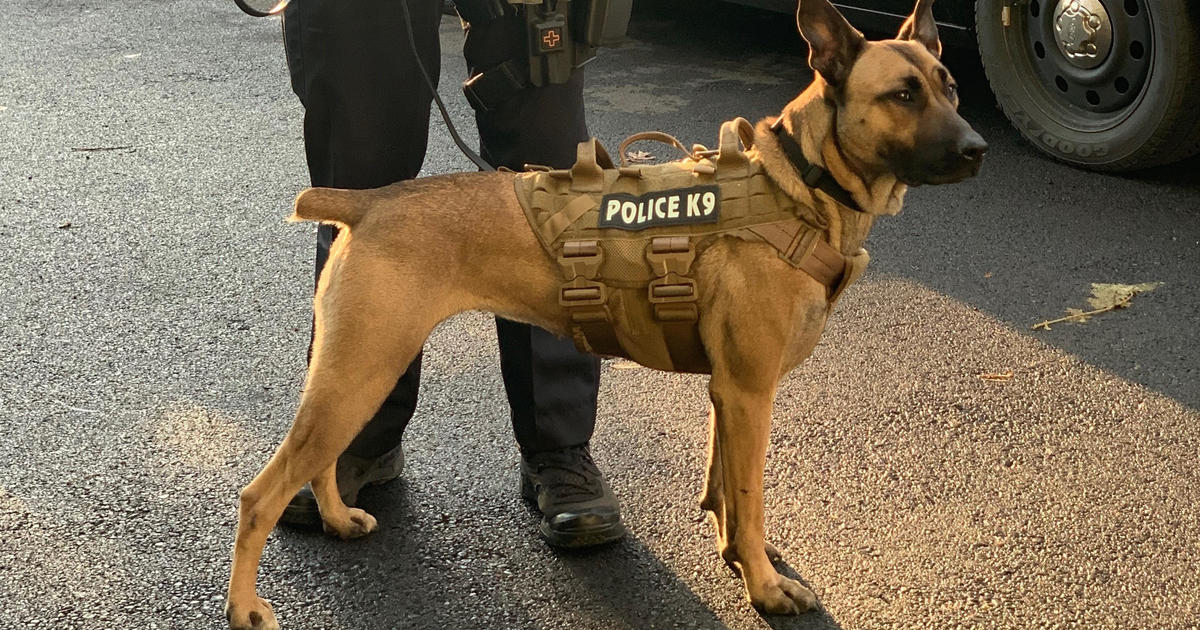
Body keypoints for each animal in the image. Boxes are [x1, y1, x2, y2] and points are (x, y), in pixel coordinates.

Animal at [223, 2, 984, 624]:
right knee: (259, 496)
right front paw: (765, 587)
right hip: (361, 371)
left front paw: (734, 555)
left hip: (356, 374)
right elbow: (752, 503)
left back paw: (337, 519)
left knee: (318, 461)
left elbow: (725, 494)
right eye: (903, 94)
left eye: (949, 87)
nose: (977, 150)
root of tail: (369, 201)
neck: (797, 182)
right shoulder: (750, 393)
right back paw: (248, 608)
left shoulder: (728, 395)